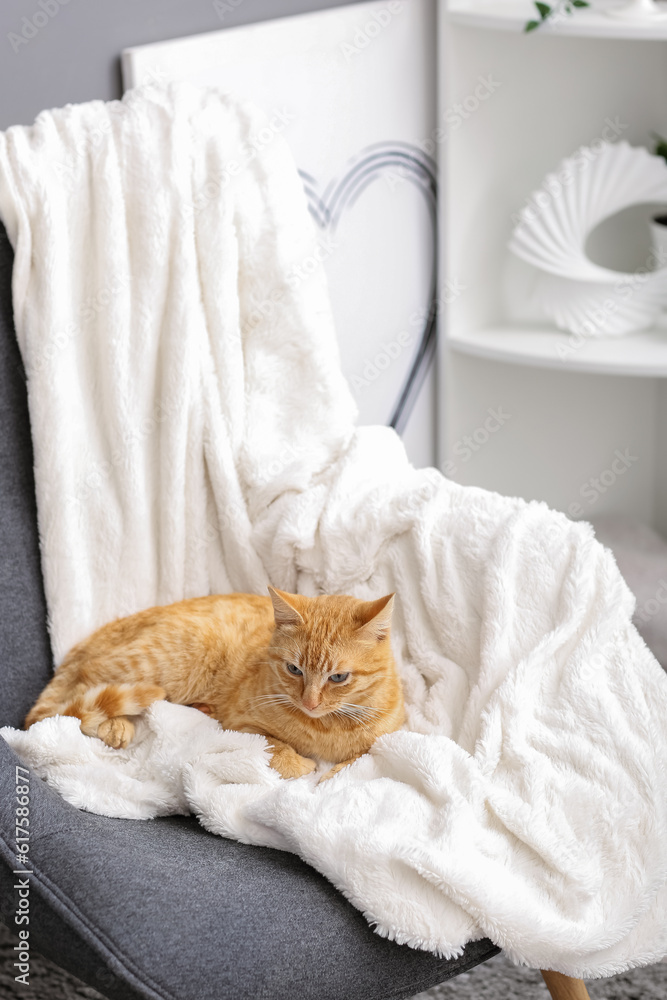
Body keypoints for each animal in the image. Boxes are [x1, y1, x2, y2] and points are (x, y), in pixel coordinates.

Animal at [23, 584, 404, 780]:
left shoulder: (390, 736)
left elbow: (360, 758)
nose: (309, 702)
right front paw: (303, 766)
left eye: (338, 677)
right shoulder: (243, 724)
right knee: (59, 707)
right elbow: (276, 747)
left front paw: (333, 773)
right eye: (294, 669)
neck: (326, 726)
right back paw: (115, 725)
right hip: (168, 661)